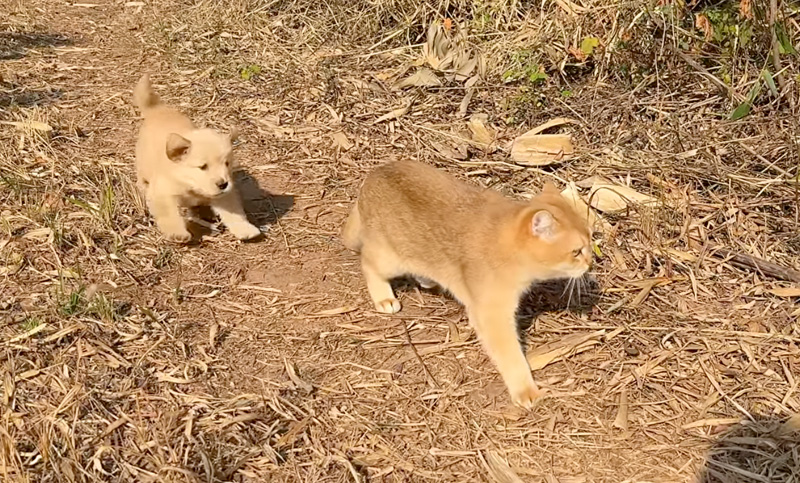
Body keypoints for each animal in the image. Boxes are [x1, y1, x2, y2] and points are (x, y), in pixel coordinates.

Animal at [340, 161, 592, 406]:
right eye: (576, 251)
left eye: (590, 240)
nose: (590, 262)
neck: (506, 243)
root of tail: (374, 174)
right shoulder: (493, 316)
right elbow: (510, 355)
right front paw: (525, 390)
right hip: (389, 258)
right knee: (368, 260)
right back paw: (384, 297)